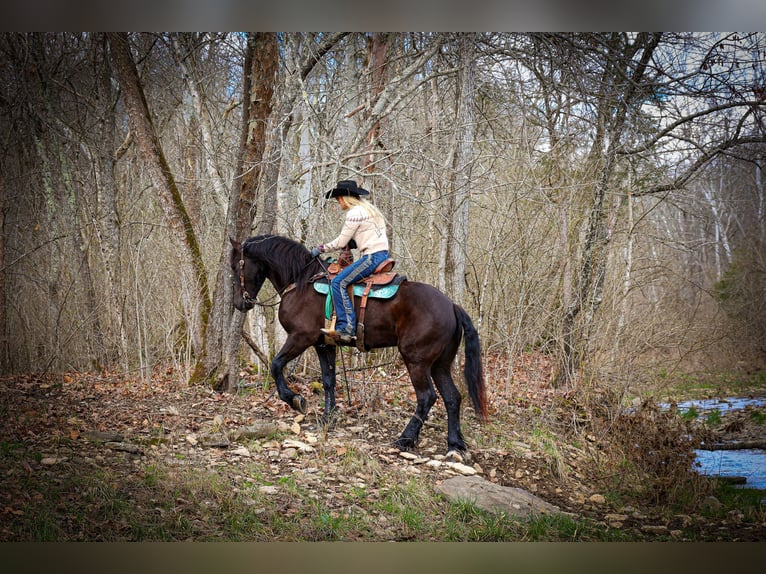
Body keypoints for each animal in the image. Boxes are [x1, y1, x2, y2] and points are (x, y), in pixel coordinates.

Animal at [231, 236, 488, 456]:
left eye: (236, 266)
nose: (239, 303)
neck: (301, 282)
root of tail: (452, 305)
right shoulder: (324, 345)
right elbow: (328, 381)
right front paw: (328, 417)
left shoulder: (300, 337)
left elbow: (276, 365)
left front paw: (295, 399)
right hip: (440, 365)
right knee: (452, 398)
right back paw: (455, 444)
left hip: (417, 361)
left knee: (426, 397)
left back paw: (405, 439)